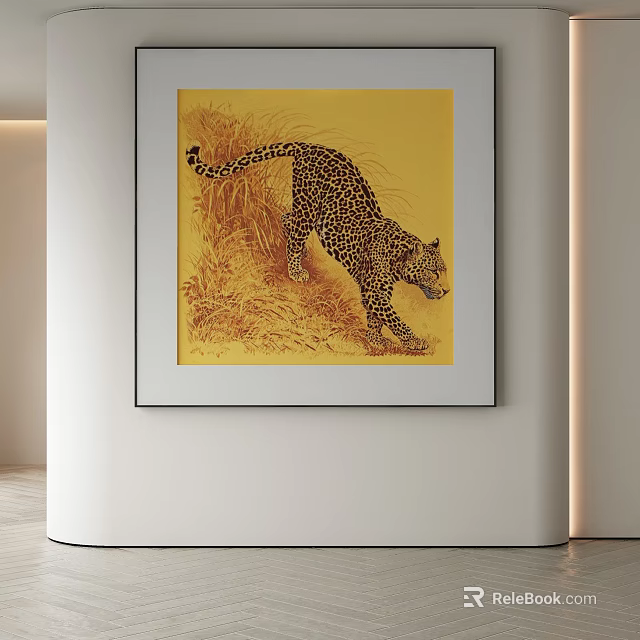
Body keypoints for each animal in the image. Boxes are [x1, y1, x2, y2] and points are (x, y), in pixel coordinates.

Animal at [186, 141, 450, 352]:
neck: (397, 258)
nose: (447, 291)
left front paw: (375, 339)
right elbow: (394, 318)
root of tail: (310, 146)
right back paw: (295, 270)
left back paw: (299, 251)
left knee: (287, 218)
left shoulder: (377, 292)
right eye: (433, 272)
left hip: (311, 212)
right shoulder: (374, 291)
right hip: (308, 206)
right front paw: (414, 341)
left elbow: (377, 317)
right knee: (294, 230)